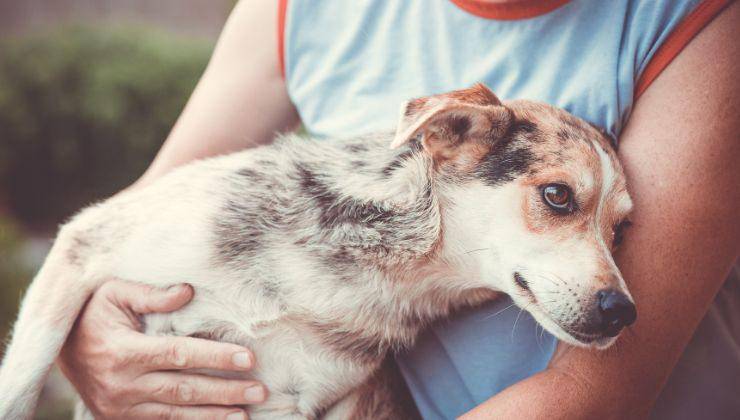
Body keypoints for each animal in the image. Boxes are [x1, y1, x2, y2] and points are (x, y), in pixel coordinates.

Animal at [0, 83, 636, 418]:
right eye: (557, 195)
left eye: (621, 229)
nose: (623, 312)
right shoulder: (84, 241)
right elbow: (22, 382)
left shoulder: (289, 404)